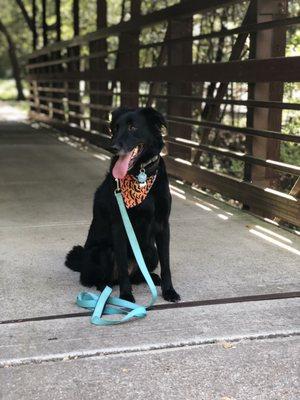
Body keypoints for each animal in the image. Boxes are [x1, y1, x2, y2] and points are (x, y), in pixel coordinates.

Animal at [64, 108, 179, 302]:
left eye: (133, 127)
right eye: (115, 128)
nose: (113, 147)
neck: (140, 175)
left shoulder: (163, 225)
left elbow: (166, 264)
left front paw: (169, 290)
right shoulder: (119, 225)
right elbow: (123, 265)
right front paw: (126, 295)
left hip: (151, 251)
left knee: (138, 275)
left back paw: (151, 278)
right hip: (102, 252)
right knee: (100, 279)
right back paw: (106, 291)